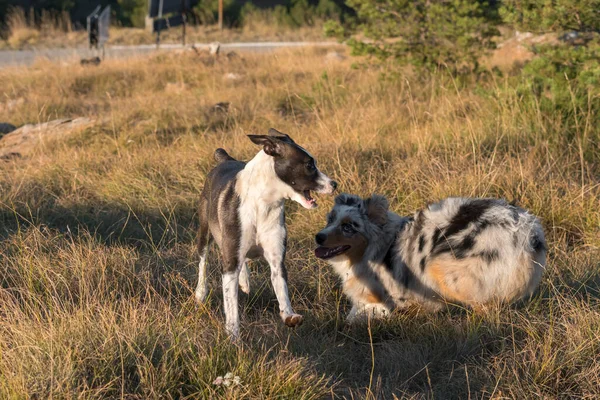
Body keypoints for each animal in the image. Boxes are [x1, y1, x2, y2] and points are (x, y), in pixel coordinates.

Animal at [197, 128, 338, 338]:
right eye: (309, 165)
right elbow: (231, 304)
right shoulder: (229, 263)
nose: (334, 184)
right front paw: (233, 336)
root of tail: (225, 159)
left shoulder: (276, 256)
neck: (262, 203)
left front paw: (289, 316)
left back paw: (244, 281)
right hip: (205, 230)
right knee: (203, 259)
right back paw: (200, 292)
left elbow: (281, 287)